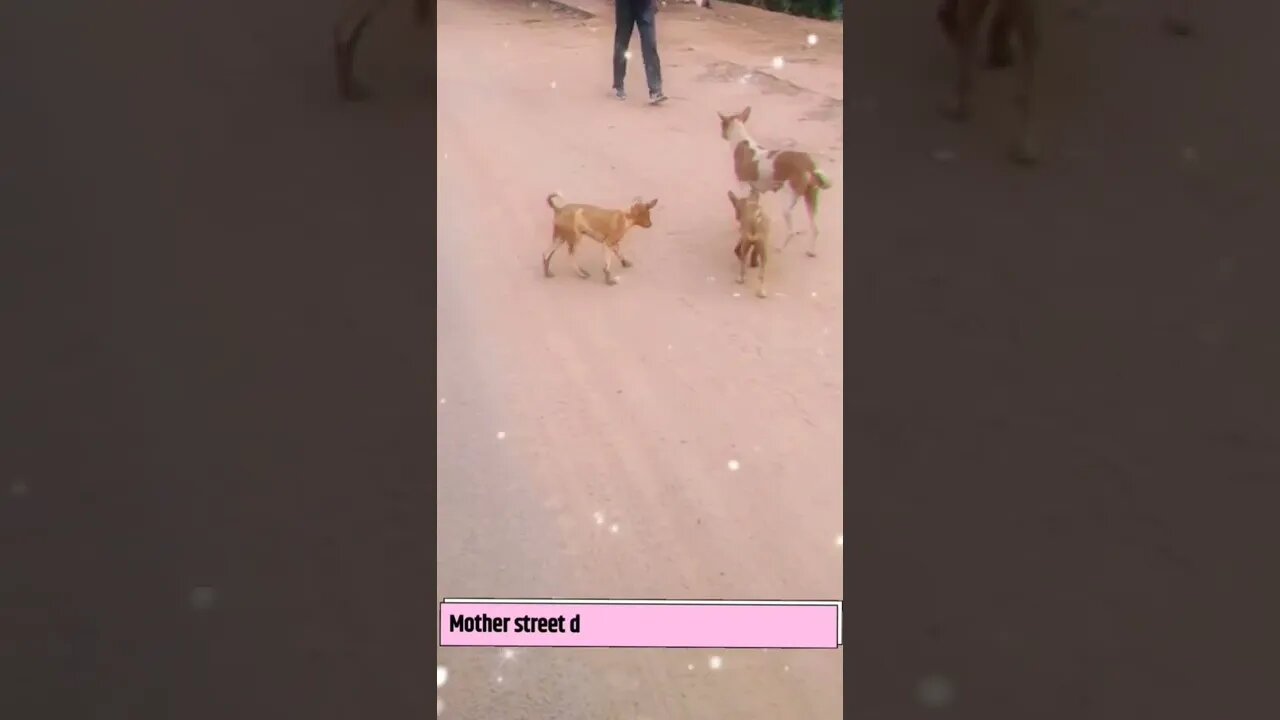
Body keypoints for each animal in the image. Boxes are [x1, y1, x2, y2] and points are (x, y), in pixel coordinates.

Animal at [716, 106, 834, 257]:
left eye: (721, 124)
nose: (722, 135)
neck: (742, 142)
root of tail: (808, 165)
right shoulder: (754, 190)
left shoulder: (742, 186)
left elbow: (741, 207)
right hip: (811, 199)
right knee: (815, 228)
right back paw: (811, 251)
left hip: (788, 203)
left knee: (791, 231)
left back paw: (780, 248)